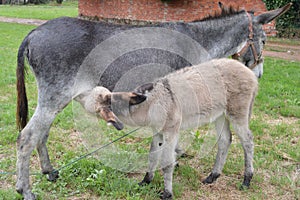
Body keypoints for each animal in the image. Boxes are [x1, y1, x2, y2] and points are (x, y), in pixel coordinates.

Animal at [78, 57, 258, 198]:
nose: (78, 94)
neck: (151, 103)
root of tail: (250, 73)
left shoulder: (171, 131)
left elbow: (166, 162)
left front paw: (167, 194)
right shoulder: (157, 132)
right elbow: (152, 156)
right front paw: (145, 182)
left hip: (238, 111)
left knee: (247, 141)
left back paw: (247, 180)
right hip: (220, 114)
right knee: (225, 140)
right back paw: (213, 176)